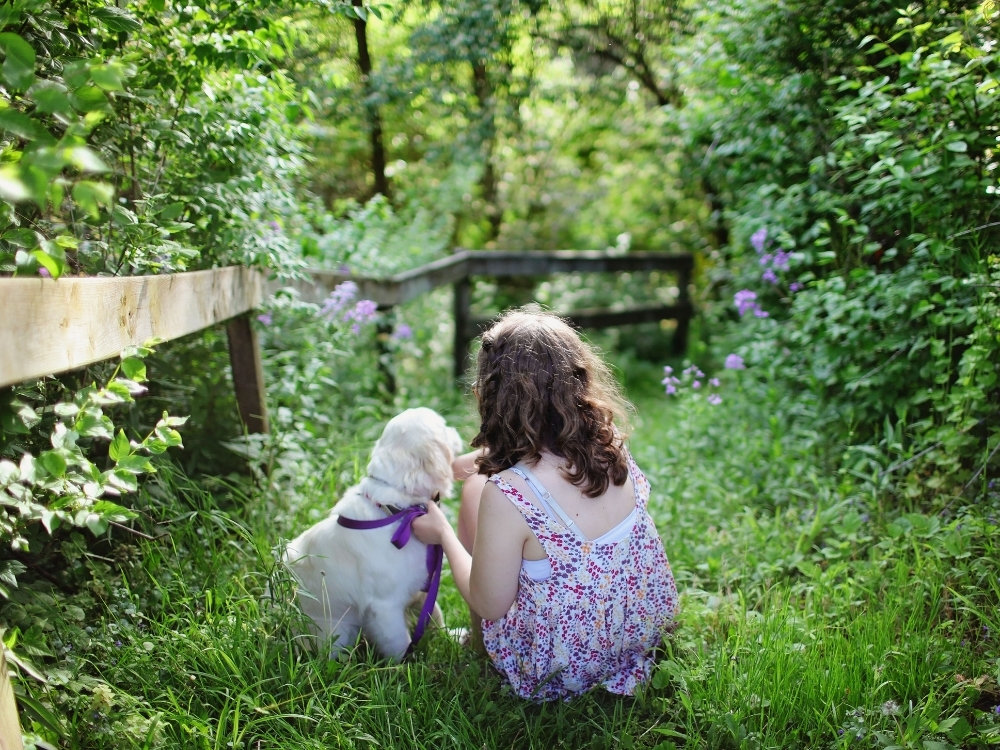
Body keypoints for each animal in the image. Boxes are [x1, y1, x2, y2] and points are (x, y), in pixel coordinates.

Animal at [284, 408, 462, 660]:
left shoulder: (421, 586)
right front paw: (408, 665)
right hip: (337, 632)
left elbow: (435, 614)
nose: (456, 430)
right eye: (444, 427)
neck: (397, 511)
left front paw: (452, 637)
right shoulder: (385, 607)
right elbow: (399, 643)